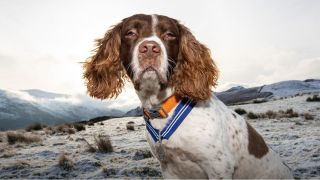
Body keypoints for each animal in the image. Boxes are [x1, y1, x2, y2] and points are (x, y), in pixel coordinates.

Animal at [83, 14, 292, 179]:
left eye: (169, 35)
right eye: (130, 33)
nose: (150, 48)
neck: (164, 108)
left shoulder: (219, 168)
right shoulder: (168, 169)